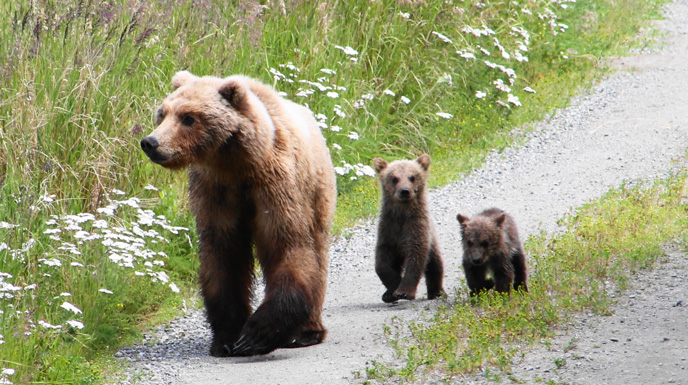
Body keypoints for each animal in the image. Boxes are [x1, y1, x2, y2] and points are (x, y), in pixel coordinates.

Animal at [139, 70, 336, 356]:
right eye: (162, 114)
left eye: (188, 117)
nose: (150, 142)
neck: (236, 163)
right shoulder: (216, 194)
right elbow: (224, 256)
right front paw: (227, 338)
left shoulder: (274, 186)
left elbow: (287, 245)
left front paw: (256, 335)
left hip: (315, 192)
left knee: (317, 251)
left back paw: (307, 332)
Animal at [374, 154, 444, 302]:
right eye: (394, 178)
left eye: (412, 177)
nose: (405, 191)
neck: (402, 213)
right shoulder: (388, 228)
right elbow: (382, 262)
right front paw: (394, 286)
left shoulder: (416, 227)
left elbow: (416, 257)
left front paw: (404, 291)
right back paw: (387, 295)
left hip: (432, 239)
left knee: (435, 265)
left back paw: (437, 292)